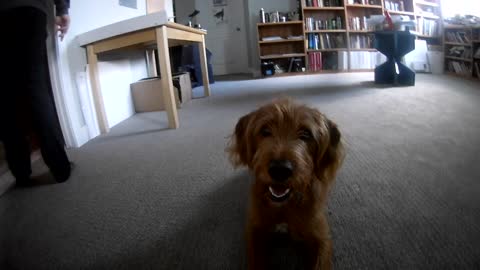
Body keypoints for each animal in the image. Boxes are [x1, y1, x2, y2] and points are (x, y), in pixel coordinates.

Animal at [227, 98, 344, 268]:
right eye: (265, 131)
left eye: (306, 134)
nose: (280, 170)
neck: (283, 207)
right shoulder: (254, 230)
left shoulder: (322, 237)